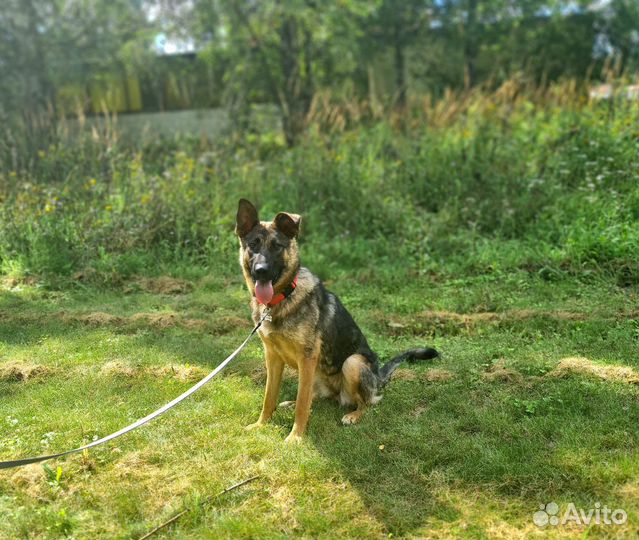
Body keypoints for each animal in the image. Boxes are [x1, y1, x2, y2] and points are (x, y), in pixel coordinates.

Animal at [236, 199, 440, 442]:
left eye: (277, 246)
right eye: (253, 244)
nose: (261, 271)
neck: (281, 299)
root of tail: (378, 377)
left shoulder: (306, 358)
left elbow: (302, 405)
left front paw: (295, 437)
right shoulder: (273, 357)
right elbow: (269, 397)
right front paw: (260, 424)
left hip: (352, 363)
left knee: (367, 402)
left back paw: (353, 415)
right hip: (316, 374)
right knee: (316, 396)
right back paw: (293, 402)